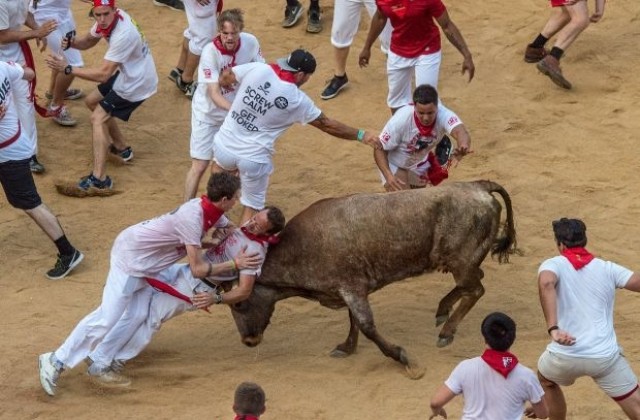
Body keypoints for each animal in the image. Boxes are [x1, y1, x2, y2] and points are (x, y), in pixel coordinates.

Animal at [228, 180, 516, 378]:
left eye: (239, 303)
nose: (248, 341)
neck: (302, 246)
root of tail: (478, 185)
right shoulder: (349, 290)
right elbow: (354, 321)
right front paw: (346, 347)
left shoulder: (352, 288)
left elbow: (366, 325)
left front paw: (405, 360)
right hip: (463, 262)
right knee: (472, 283)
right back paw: (442, 311)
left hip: (460, 261)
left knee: (475, 289)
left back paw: (446, 331)